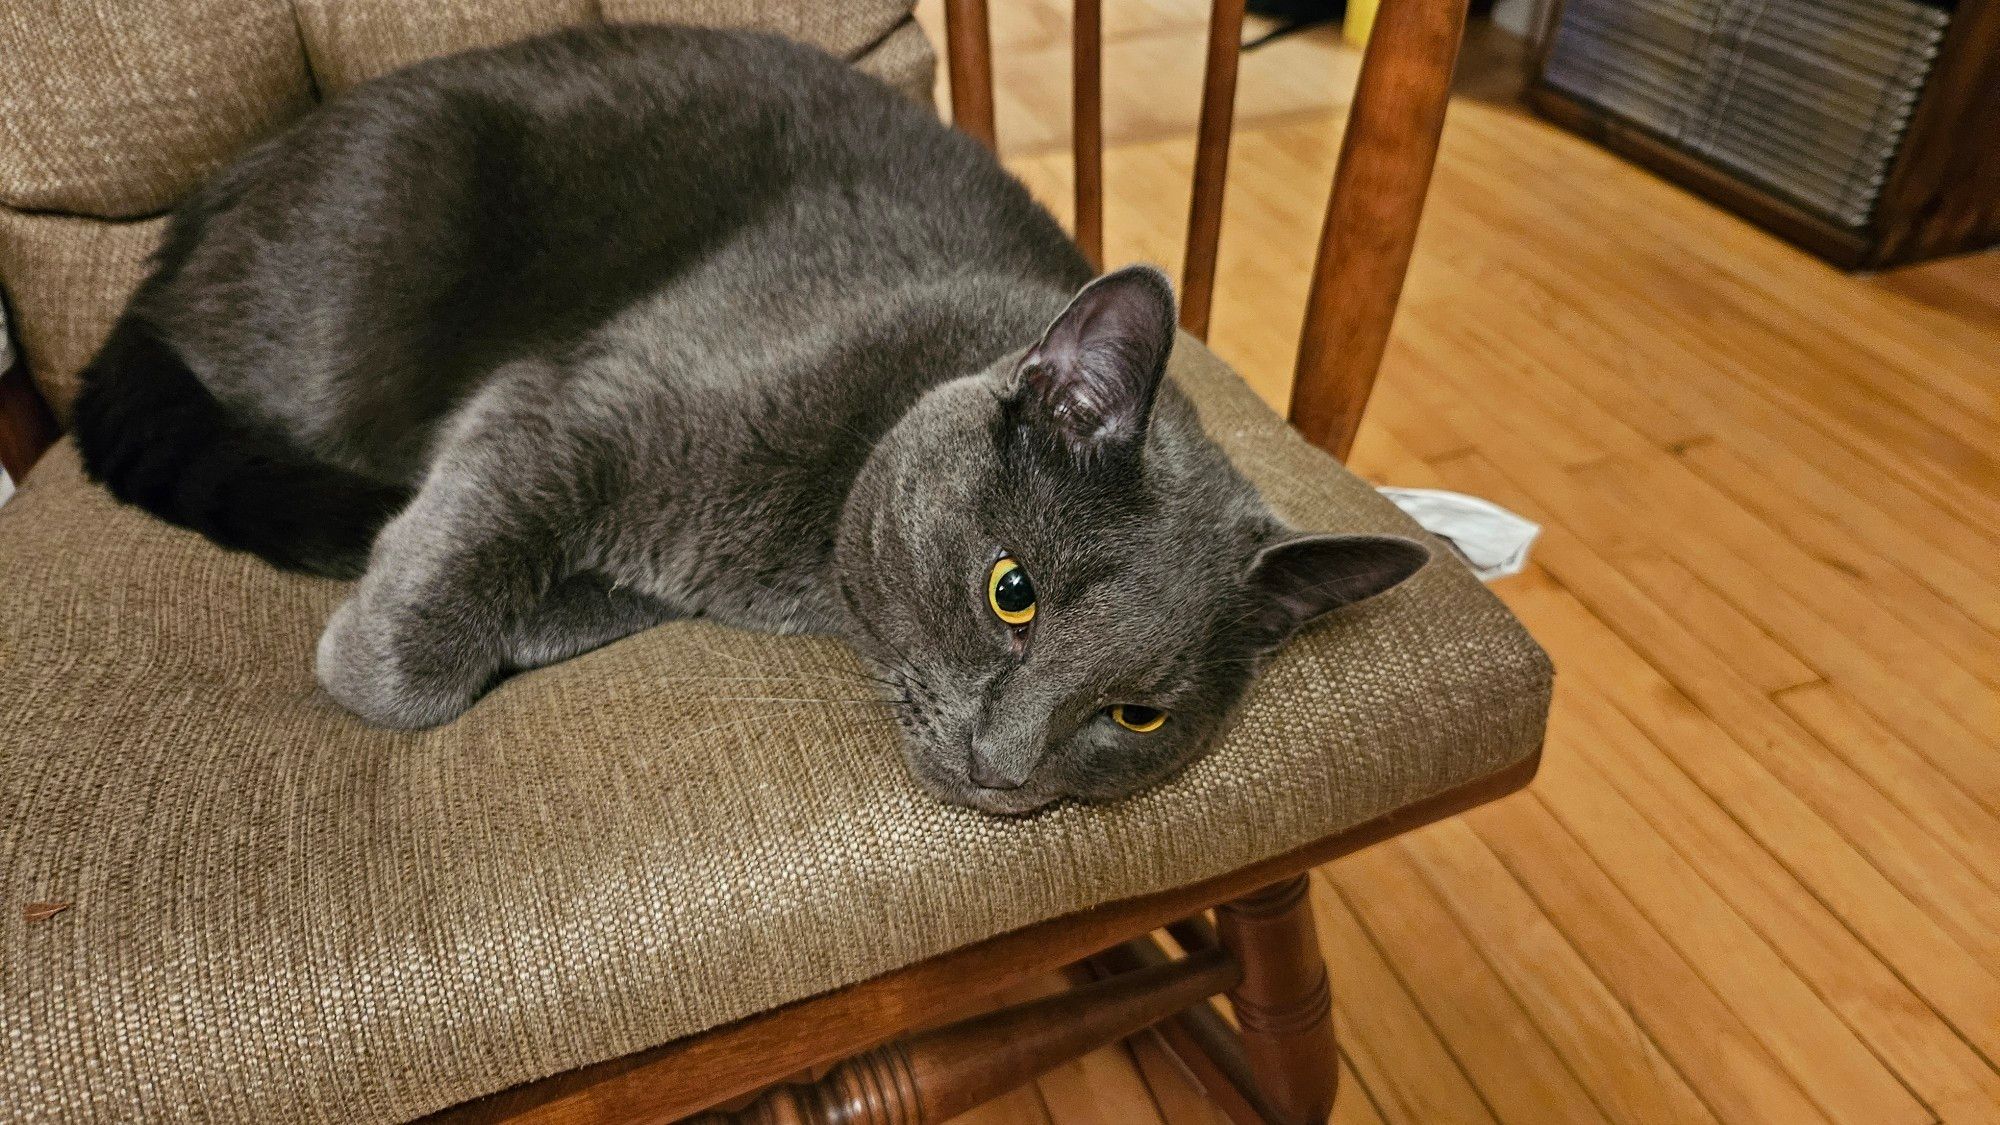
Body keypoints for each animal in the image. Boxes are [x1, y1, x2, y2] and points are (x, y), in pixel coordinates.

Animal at [74, 21, 1424, 808]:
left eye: (1137, 716)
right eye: (1012, 593)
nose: (1006, 771)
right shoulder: (570, 405)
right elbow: (412, 664)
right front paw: (377, 654)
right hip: (376, 246)